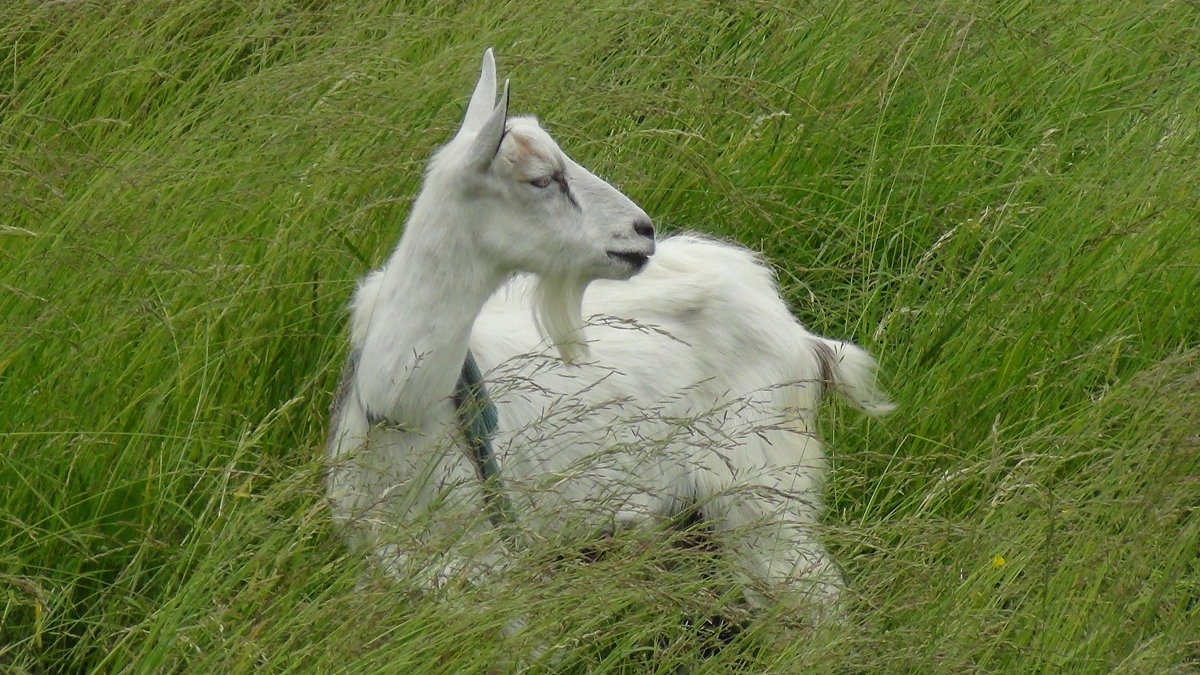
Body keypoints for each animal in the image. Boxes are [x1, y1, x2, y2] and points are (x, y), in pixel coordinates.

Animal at [326, 48, 892, 614]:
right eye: (542, 178)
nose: (643, 231)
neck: (404, 407)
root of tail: (800, 338)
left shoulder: (496, 565)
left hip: (763, 490)